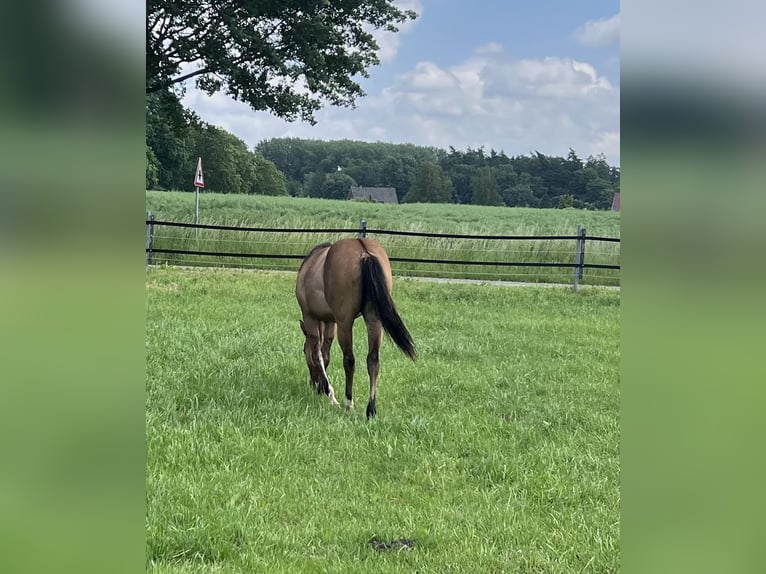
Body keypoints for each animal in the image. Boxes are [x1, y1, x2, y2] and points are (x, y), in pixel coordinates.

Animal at [295, 238, 416, 418]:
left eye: (303, 352)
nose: (313, 383)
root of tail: (364, 251)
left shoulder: (312, 319)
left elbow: (318, 355)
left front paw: (329, 393)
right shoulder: (330, 322)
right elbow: (326, 354)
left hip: (345, 323)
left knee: (349, 360)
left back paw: (348, 402)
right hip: (374, 320)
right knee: (373, 360)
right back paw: (371, 409)